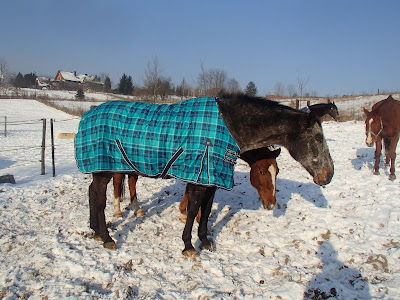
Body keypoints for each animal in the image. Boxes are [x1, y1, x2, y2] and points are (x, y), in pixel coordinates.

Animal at [76, 94, 334, 258]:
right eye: (317, 138)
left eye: (276, 171)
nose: (328, 175)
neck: (227, 127)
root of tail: (87, 114)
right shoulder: (200, 176)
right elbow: (193, 210)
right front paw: (188, 246)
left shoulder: (212, 178)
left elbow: (207, 210)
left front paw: (205, 241)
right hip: (104, 169)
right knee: (99, 199)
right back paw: (107, 238)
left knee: (93, 194)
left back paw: (95, 231)